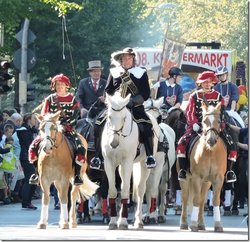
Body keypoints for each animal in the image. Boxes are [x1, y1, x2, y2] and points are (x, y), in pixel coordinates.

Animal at [103, 91, 160, 230]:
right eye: (109, 117)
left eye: (124, 118)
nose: (114, 143)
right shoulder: (109, 162)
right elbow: (113, 190)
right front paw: (113, 221)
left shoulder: (127, 162)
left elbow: (125, 191)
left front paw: (123, 222)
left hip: (143, 164)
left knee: (140, 189)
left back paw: (139, 220)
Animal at [177, 101, 228, 232]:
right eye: (204, 121)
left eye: (219, 121)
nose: (211, 140)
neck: (210, 152)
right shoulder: (196, 177)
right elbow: (195, 199)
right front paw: (193, 224)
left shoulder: (218, 179)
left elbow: (215, 200)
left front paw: (218, 225)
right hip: (185, 179)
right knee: (185, 198)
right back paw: (184, 223)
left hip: (206, 182)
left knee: (202, 199)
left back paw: (201, 224)